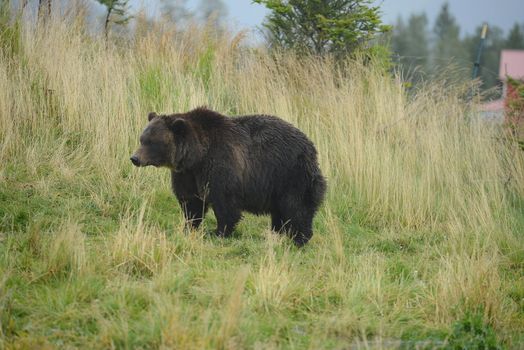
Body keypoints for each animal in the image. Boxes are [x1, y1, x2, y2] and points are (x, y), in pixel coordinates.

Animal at [130, 106, 326, 246]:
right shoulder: (186, 175)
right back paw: (276, 233)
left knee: (296, 207)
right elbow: (191, 203)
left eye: (152, 142)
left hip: (291, 175)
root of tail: (311, 147)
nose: (135, 158)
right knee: (280, 212)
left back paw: (299, 239)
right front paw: (189, 227)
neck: (196, 157)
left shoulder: (219, 165)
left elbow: (224, 203)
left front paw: (218, 232)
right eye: (142, 138)